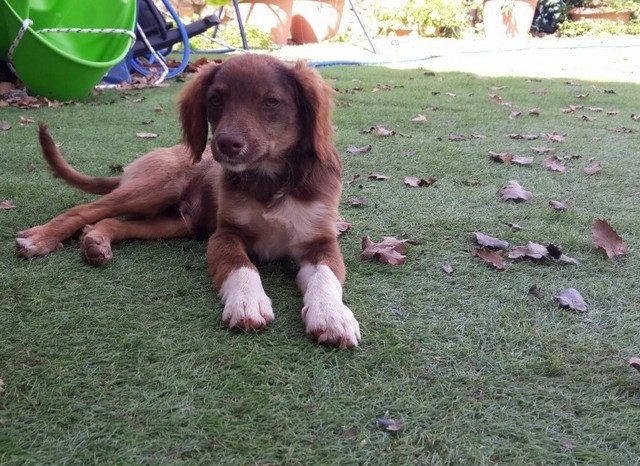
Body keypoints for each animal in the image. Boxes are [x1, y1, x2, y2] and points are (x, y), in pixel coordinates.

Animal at [16, 54, 361, 347]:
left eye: (272, 101)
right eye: (216, 99)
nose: (227, 144)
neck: (270, 180)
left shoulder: (320, 242)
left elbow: (326, 278)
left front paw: (332, 315)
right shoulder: (225, 235)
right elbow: (242, 266)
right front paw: (247, 301)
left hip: (177, 222)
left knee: (116, 222)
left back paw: (96, 241)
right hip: (156, 188)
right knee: (84, 209)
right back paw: (41, 238)